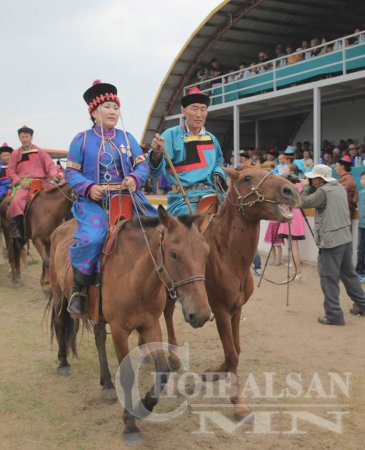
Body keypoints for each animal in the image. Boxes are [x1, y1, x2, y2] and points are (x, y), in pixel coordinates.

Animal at [47, 206, 210, 442]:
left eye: (206, 252)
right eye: (174, 254)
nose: (202, 314)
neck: (135, 278)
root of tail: (61, 227)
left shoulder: (150, 325)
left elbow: (163, 370)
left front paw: (145, 405)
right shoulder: (119, 330)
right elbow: (127, 374)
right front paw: (130, 424)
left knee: (98, 338)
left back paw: (106, 384)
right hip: (60, 295)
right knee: (60, 323)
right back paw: (63, 363)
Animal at [164, 167, 300, 420]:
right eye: (247, 178)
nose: (290, 191)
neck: (226, 256)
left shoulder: (237, 310)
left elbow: (235, 350)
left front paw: (214, 372)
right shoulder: (220, 312)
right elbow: (232, 354)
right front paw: (238, 404)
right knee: (166, 315)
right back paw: (172, 356)